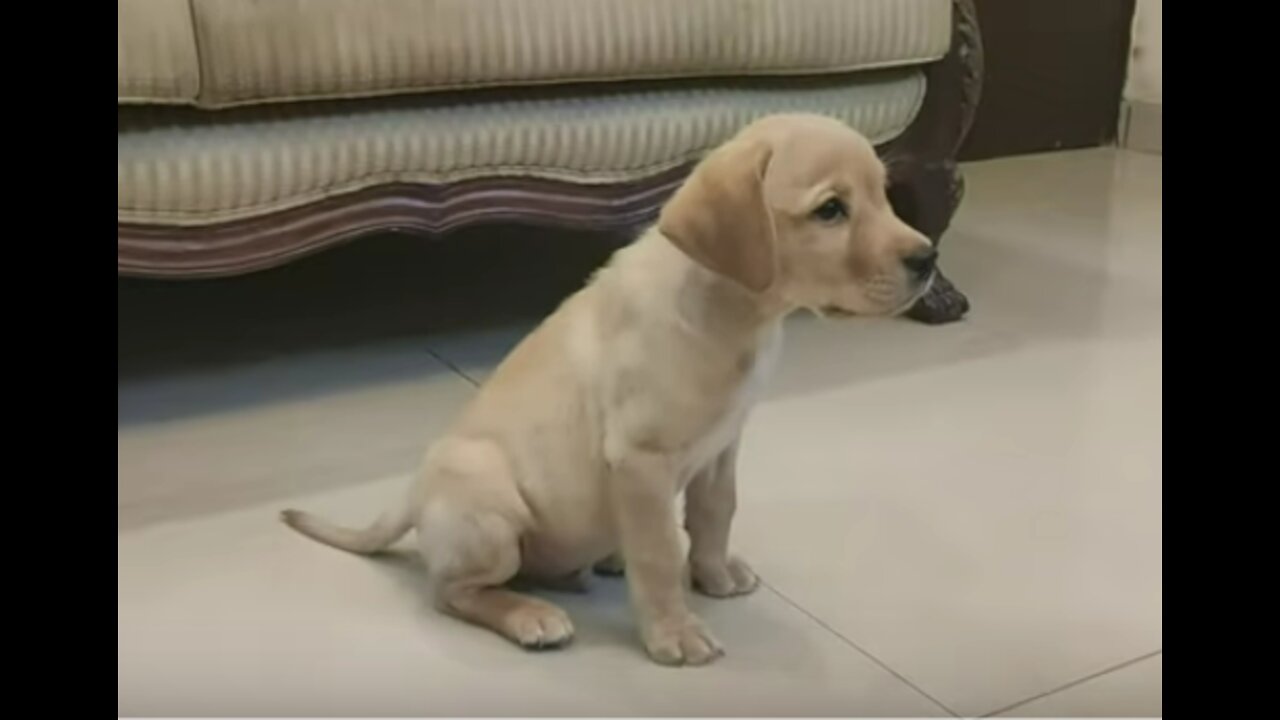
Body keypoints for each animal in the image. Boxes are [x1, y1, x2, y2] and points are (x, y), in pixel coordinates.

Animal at [282, 112, 942, 661]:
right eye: (830, 210)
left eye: (883, 195)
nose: (928, 258)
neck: (734, 312)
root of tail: (413, 494)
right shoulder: (641, 458)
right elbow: (659, 553)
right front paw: (675, 632)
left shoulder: (721, 447)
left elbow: (714, 514)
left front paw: (713, 573)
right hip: (489, 509)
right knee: (452, 590)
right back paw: (530, 614)